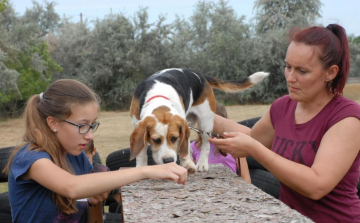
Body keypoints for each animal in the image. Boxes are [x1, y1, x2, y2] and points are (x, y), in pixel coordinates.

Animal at [129, 68, 268, 172]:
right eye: (156, 140)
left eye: (174, 138)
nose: (168, 161)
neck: (159, 98)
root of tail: (200, 75)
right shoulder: (137, 124)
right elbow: (141, 153)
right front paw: (141, 168)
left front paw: (187, 164)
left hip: (206, 122)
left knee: (205, 145)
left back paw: (201, 164)